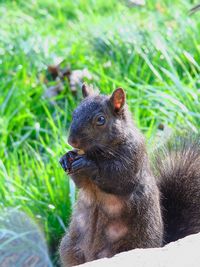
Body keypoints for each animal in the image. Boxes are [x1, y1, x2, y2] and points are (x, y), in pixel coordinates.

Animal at [58, 85, 200, 266]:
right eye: (74, 113)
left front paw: (88, 164)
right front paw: (66, 157)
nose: (72, 141)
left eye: (100, 119)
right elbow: (81, 183)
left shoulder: (133, 157)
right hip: (70, 247)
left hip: (128, 247)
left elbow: (117, 178)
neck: (97, 152)